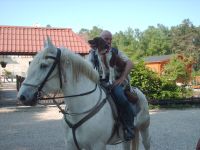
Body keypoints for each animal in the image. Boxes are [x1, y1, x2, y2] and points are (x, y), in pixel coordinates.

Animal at [17, 37, 150, 149]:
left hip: (144, 130)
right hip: (126, 139)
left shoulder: (98, 145)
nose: (21, 96)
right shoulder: (71, 145)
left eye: (43, 65)